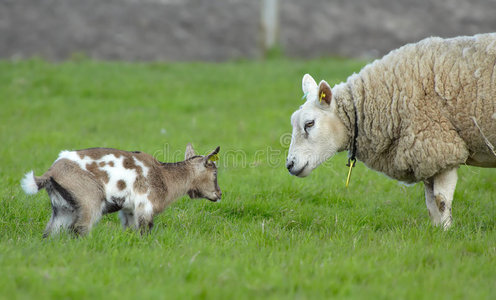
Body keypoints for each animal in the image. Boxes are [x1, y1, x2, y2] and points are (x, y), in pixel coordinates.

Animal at [20, 144, 220, 237]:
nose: (219, 194)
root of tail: (51, 172)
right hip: (89, 201)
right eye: (215, 172)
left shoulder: (129, 210)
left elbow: (130, 231)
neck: (164, 176)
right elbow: (145, 231)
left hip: (63, 209)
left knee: (50, 232)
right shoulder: (144, 207)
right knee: (80, 228)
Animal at [286, 32, 496, 229]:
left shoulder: (442, 146)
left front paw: (446, 232)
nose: (289, 165)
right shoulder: (426, 155)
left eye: (309, 123)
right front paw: (437, 231)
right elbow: (430, 204)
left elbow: (441, 200)